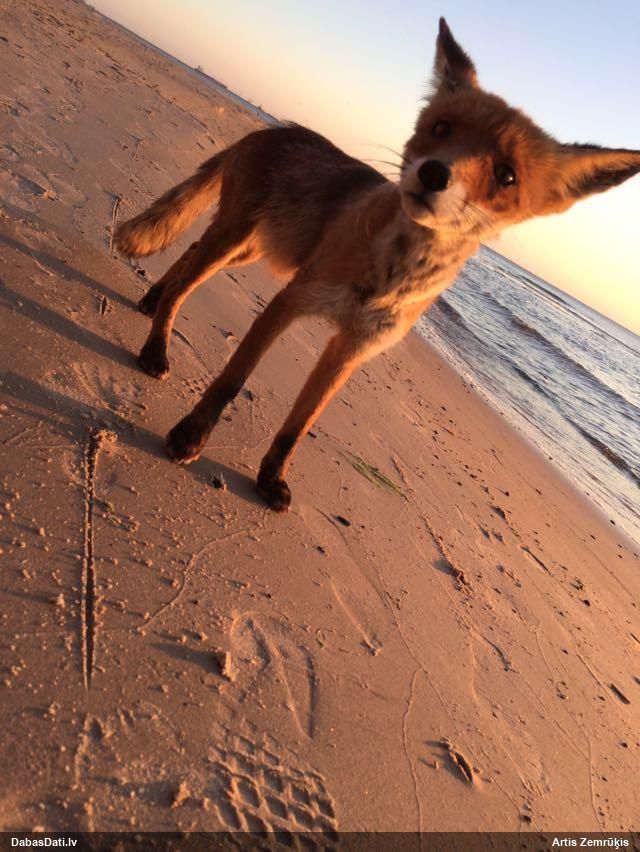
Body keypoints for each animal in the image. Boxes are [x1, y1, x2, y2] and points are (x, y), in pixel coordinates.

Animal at [115, 18, 640, 512]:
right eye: (442, 128)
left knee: (185, 260)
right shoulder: (292, 300)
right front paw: (190, 436)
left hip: (256, 249)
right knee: (186, 279)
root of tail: (274, 128)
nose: (434, 173)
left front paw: (270, 478)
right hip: (238, 239)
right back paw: (157, 344)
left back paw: (152, 303)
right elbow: (230, 382)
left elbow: (298, 425)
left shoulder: (352, 347)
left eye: (506, 175)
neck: (390, 275)